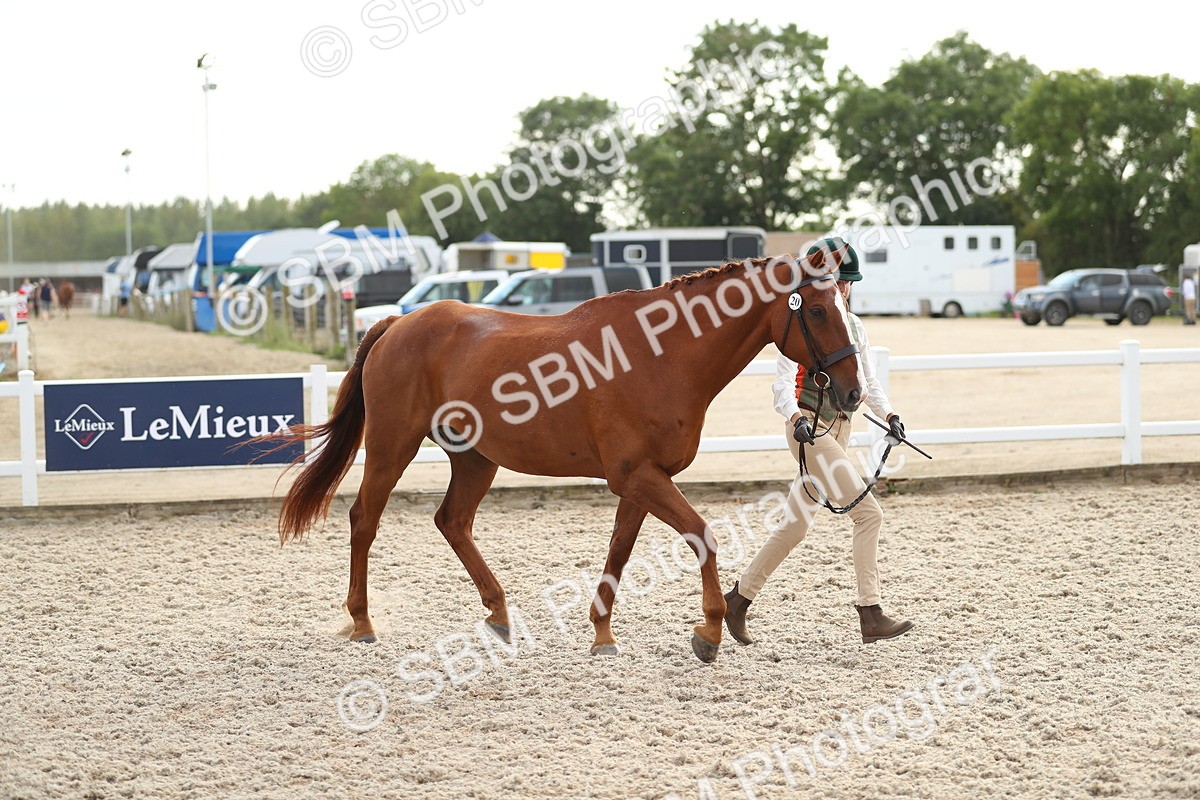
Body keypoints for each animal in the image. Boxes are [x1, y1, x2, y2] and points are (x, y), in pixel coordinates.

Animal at [262, 248, 862, 663]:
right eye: (815, 309)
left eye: (845, 306)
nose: (852, 393)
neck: (662, 356)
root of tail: (396, 323)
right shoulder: (639, 477)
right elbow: (703, 536)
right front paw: (710, 631)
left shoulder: (643, 480)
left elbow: (619, 552)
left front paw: (602, 634)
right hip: (393, 447)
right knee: (365, 520)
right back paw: (363, 623)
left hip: (476, 458)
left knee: (452, 521)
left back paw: (499, 615)